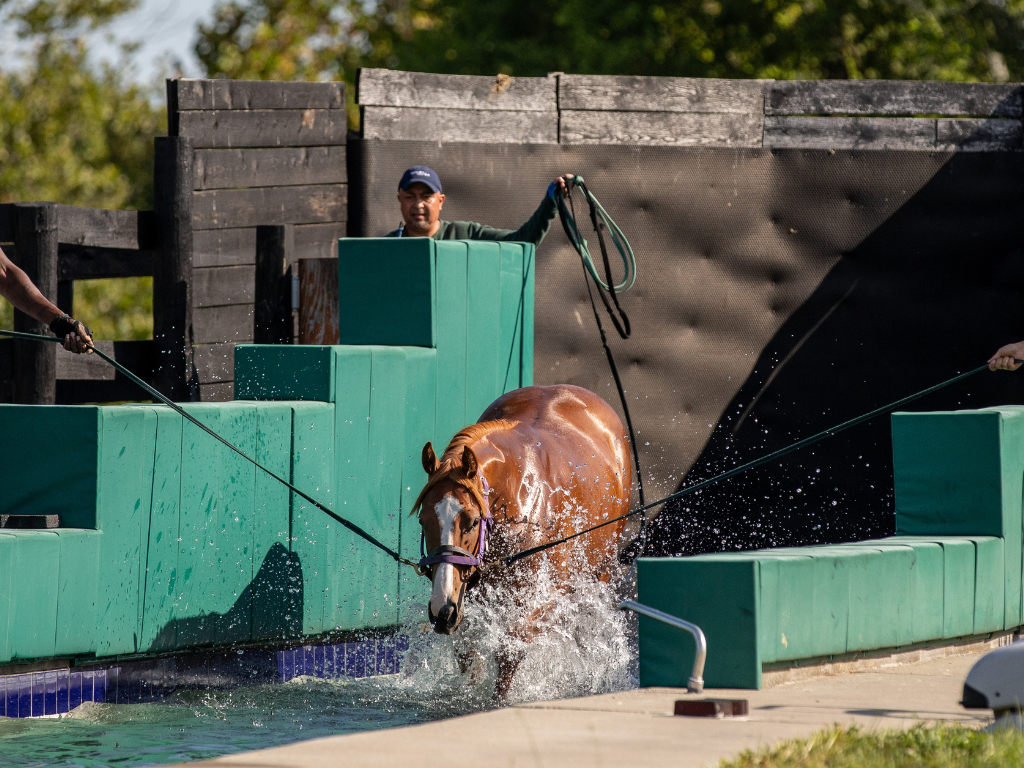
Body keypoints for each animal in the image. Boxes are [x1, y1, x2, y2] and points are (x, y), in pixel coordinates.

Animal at [409, 382, 630, 696]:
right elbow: (467, 652)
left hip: (600, 572)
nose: (441, 609)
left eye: (472, 521)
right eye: (423, 520)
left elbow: (510, 650)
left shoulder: (544, 600)